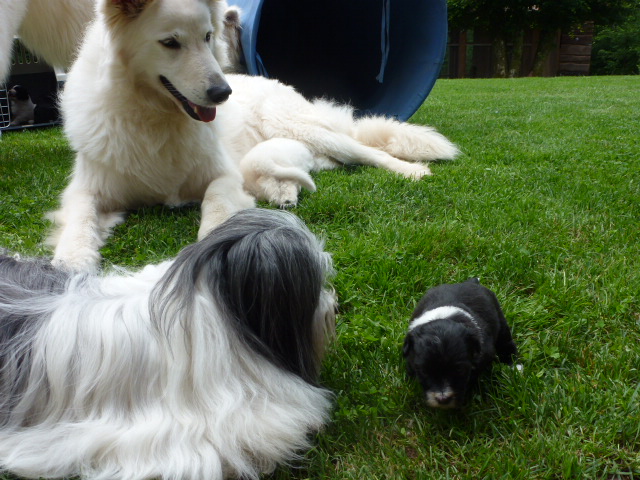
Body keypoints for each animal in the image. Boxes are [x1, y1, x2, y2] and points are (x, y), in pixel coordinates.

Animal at [402, 278, 516, 408]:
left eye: (459, 369)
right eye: (424, 372)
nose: (443, 399)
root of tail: (471, 282)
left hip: (499, 317)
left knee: (506, 342)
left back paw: (514, 367)